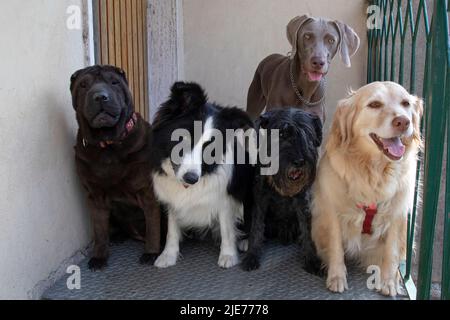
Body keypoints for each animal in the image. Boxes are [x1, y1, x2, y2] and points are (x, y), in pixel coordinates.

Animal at [70, 65, 162, 270]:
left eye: (114, 82)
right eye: (83, 85)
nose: (100, 96)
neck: (108, 145)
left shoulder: (147, 193)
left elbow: (153, 226)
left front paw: (151, 253)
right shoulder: (95, 196)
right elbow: (99, 231)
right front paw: (99, 256)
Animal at [243, 109, 324, 274]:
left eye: (308, 134)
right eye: (280, 134)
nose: (299, 161)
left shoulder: (303, 201)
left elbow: (307, 229)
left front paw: (312, 259)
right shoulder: (260, 199)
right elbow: (257, 227)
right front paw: (252, 255)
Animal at [312, 81, 422, 296]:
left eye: (405, 103)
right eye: (374, 104)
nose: (403, 122)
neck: (374, 169)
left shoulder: (398, 212)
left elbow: (391, 251)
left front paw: (388, 281)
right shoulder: (331, 209)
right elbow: (336, 247)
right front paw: (336, 276)